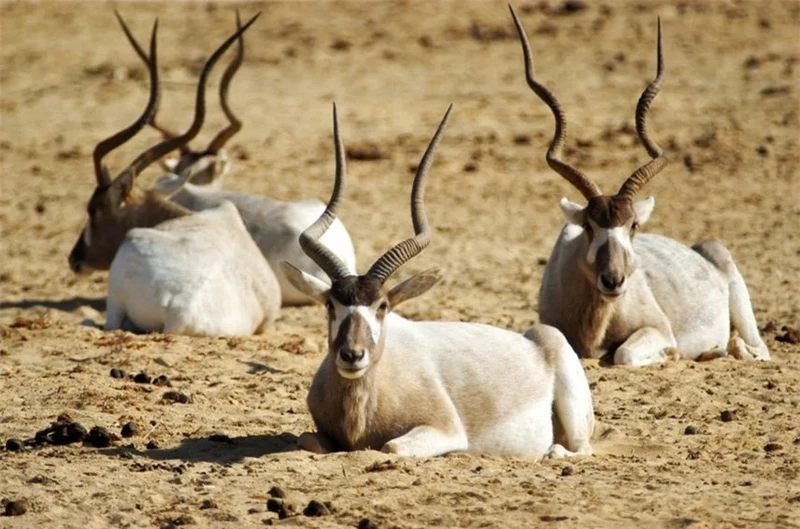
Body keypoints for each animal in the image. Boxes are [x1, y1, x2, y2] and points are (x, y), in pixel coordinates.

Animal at [282, 104, 592, 458]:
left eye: (382, 306)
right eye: (331, 305)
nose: (352, 355)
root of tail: (534, 340)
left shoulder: (446, 430)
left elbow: (391, 447)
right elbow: (308, 440)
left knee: (580, 448)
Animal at [510, 6, 772, 366]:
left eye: (633, 225)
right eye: (589, 227)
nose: (613, 280)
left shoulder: (658, 329)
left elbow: (624, 354)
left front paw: (669, 355)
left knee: (758, 349)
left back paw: (722, 348)